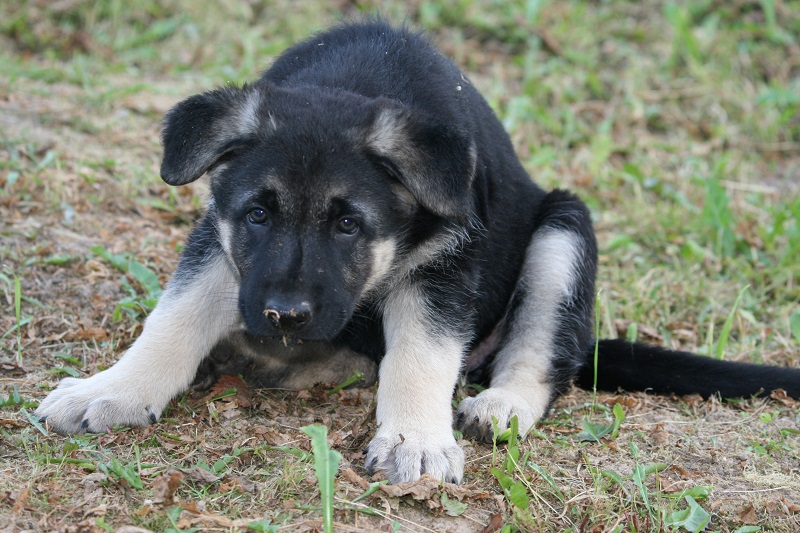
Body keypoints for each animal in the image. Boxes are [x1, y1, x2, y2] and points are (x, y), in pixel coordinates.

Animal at [36, 20, 800, 484]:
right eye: (257, 214)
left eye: (350, 225)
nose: (283, 315)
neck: (351, 82)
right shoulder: (220, 244)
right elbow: (173, 319)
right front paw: (114, 390)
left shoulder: (448, 263)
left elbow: (422, 355)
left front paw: (413, 438)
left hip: (563, 229)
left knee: (546, 353)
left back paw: (502, 402)